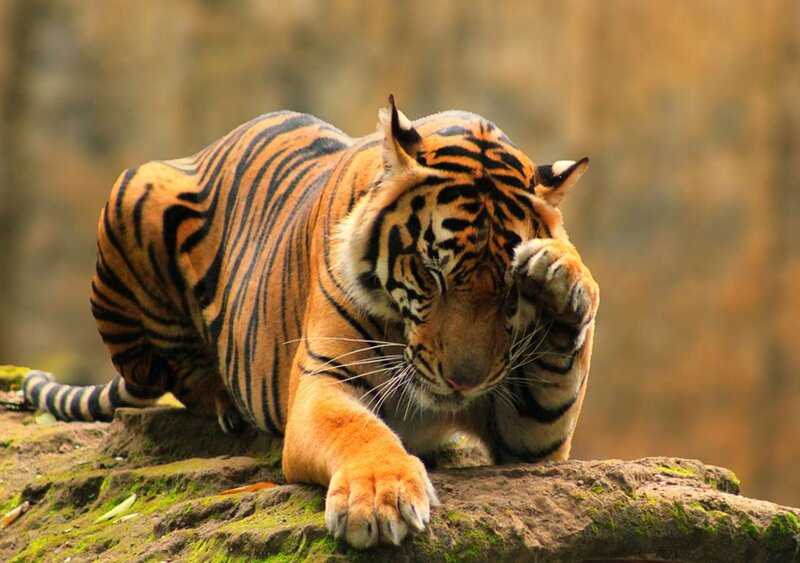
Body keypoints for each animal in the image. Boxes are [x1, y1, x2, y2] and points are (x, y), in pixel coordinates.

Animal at [23, 96, 598, 548]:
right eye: (432, 272)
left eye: (508, 292)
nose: (464, 383)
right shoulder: (325, 379)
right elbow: (357, 429)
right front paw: (380, 497)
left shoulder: (529, 436)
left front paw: (560, 274)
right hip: (135, 189)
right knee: (167, 369)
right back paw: (224, 403)